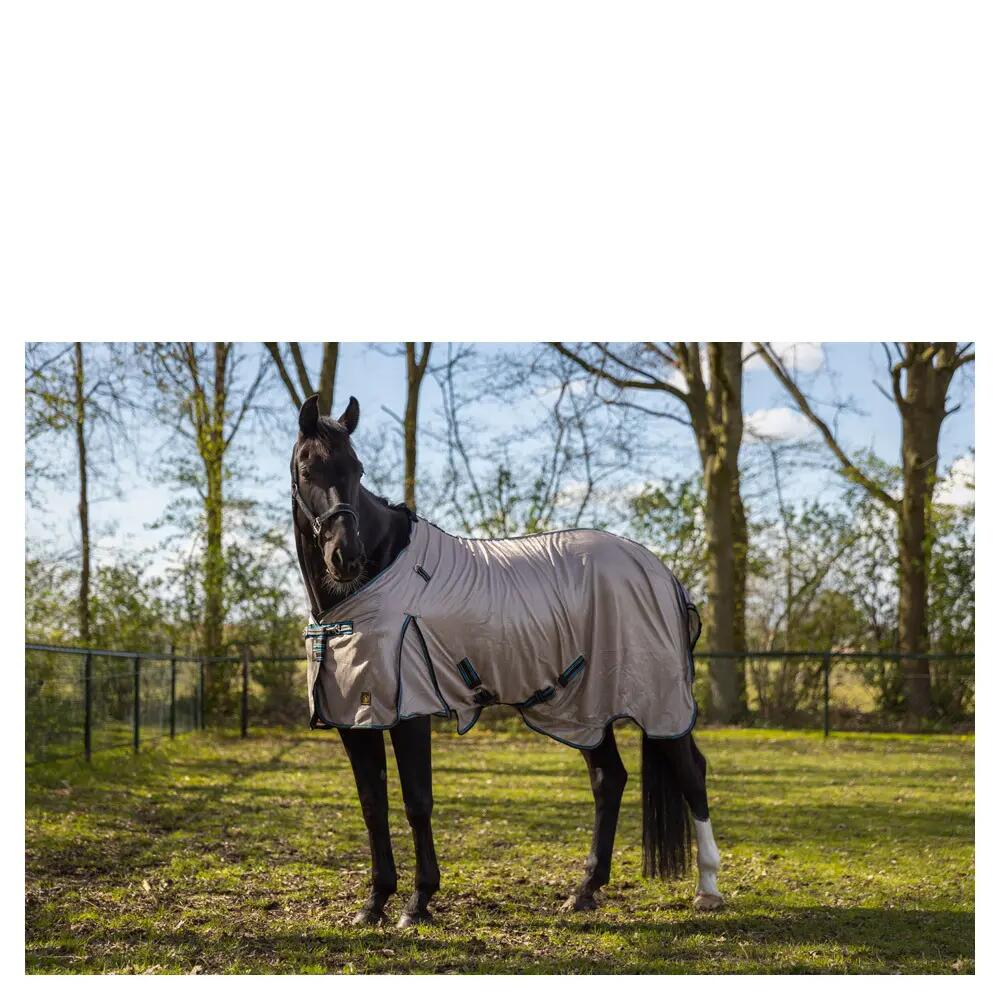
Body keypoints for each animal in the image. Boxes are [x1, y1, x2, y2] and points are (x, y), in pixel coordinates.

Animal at [291, 393, 723, 928]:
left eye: (357, 469)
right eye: (308, 469)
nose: (345, 557)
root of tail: (666, 576)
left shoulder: (410, 708)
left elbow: (416, 801)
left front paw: (418, 902)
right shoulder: (356, 713)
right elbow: (373, 805)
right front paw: (373, 904)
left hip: (658, 702)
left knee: (692, 773)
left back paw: (707, 889)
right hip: (586, 707)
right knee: (609, 779)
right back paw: (585, 890)